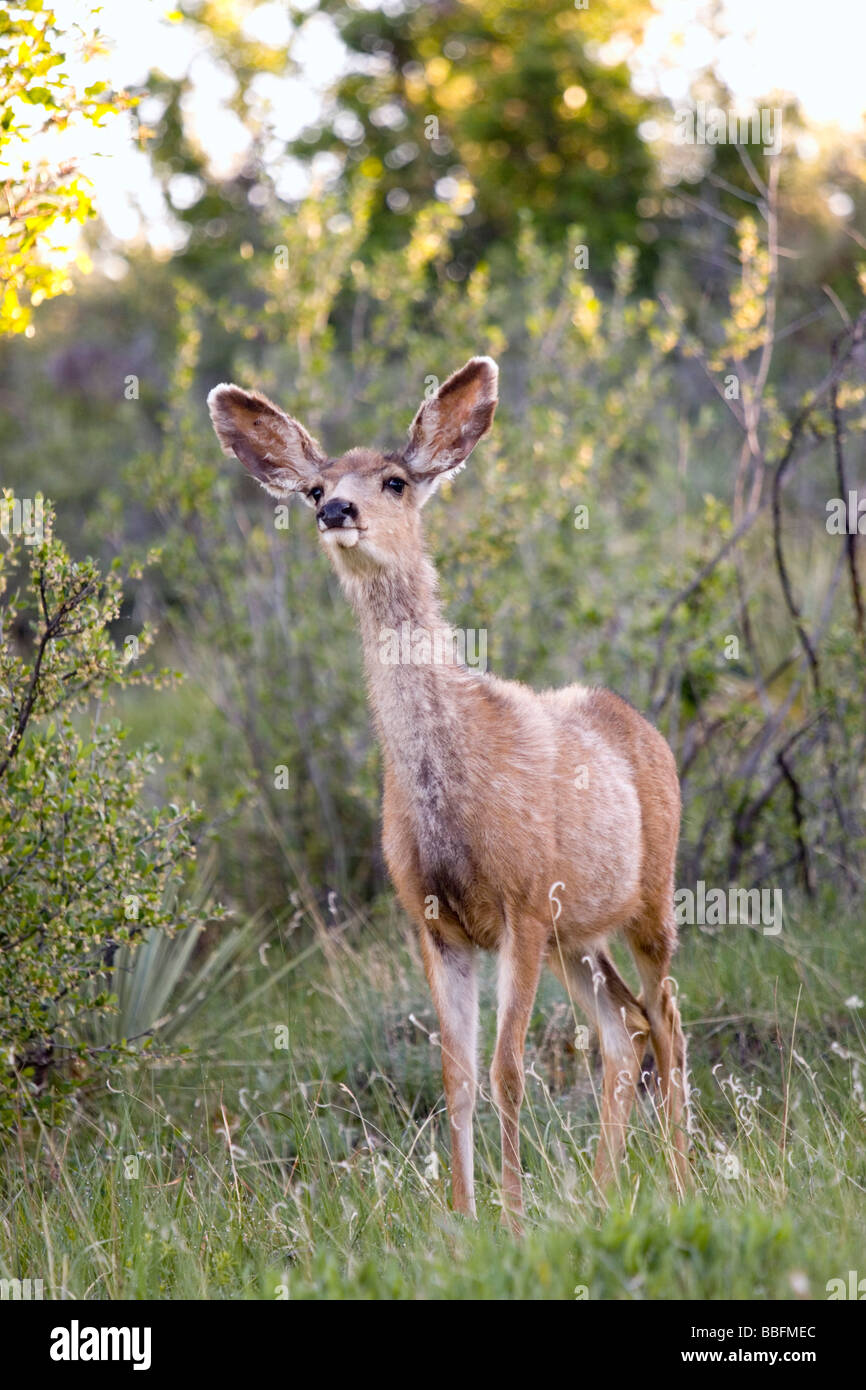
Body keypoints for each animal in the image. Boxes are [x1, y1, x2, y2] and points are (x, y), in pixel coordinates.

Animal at [208, 358, 692, 1228]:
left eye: (395, 481)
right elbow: (456, 1077)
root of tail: (643, 725)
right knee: (623, 1029)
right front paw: (465, 1222)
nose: (336, 510)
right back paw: (606, 1196)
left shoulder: (523, 904)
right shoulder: (434, 923)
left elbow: (507, 1070)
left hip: (649, 897)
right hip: (580, 936)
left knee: (665, 1019)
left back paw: (679, 1185)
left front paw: (513, 1217)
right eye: (314, 484)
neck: (450, 797)